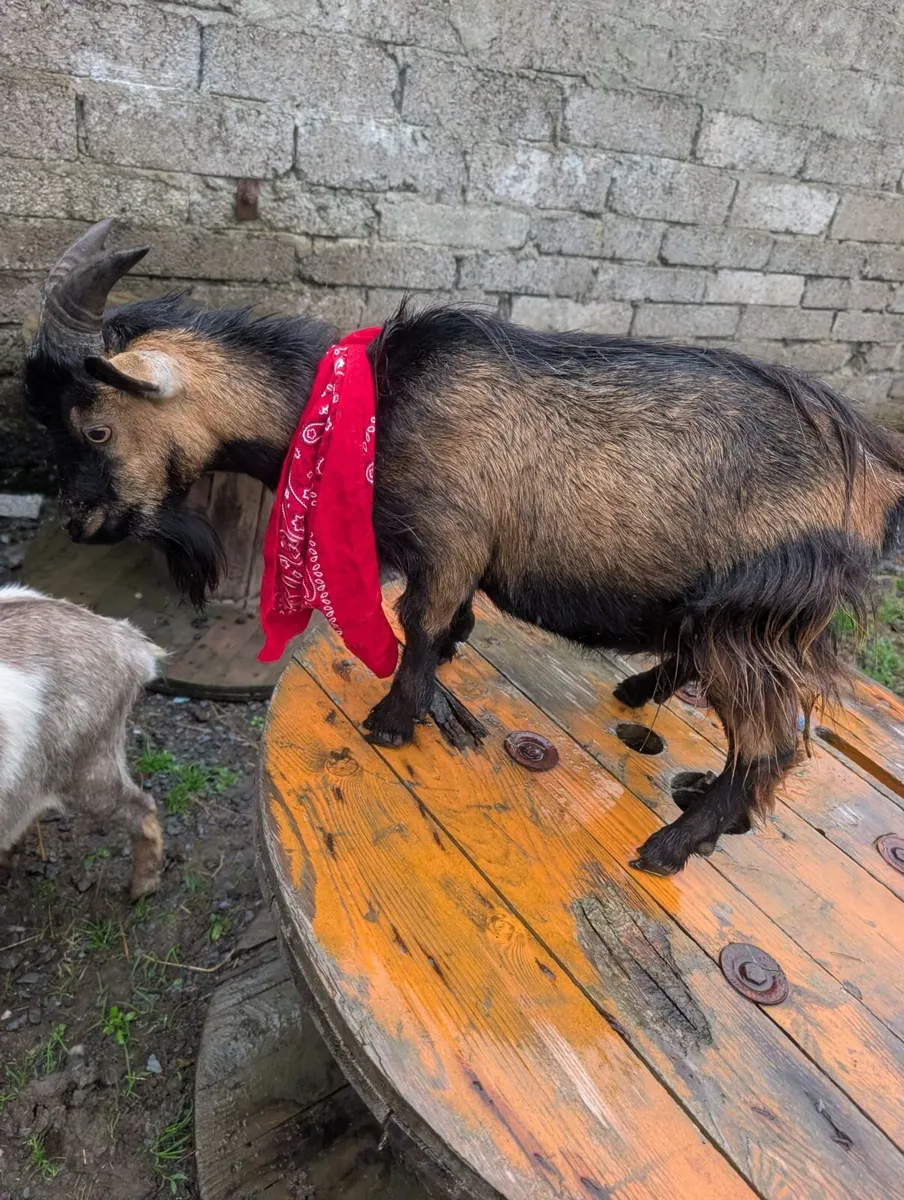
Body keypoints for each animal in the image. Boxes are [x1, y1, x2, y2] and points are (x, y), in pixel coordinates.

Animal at [23, 220, 904, 875]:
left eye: (93, 427)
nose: (80, 522)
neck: (373, 403)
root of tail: (877, 479)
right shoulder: (452, 554)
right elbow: (448, 624)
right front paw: (442, 690)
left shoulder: (450, 537)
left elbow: (417, 621)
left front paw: (392, 720)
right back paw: (643, 697)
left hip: (752, 614)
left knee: (772, 742)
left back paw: (673, 843)